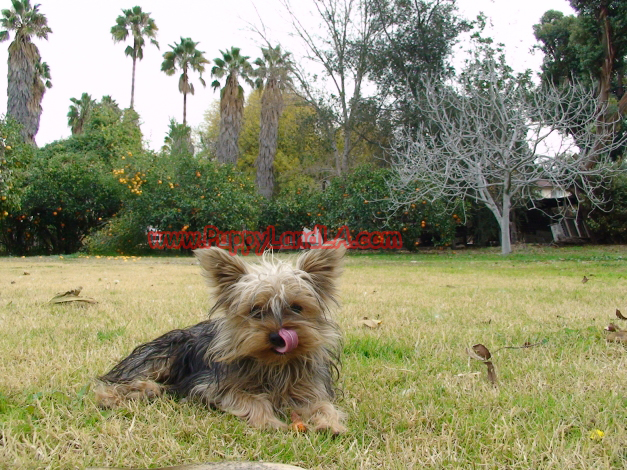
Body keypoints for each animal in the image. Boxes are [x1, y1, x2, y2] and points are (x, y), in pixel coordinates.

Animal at [97, 246, 348, 434]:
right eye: (255, 310)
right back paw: (119, 395)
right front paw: (269, 421)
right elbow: (250, 399)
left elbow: (323, 405)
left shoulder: (310, 389)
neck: (274, 365)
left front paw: (330, 424)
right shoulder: (211, 386)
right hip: (161, 356)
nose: (278, 337)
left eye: (296, 307)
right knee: (116, 381)